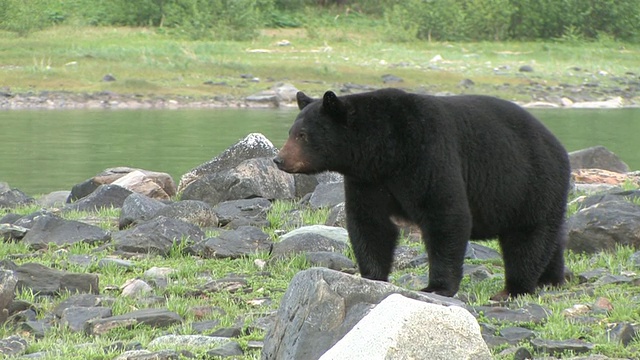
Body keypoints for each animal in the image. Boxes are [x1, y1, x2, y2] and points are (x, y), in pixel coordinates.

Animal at [272, 88, 572, 298]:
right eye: (291, 131)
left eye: (302, 135)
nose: (278, 159)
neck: (383, 149)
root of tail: (558, 144)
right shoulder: (367, 180)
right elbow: (370, 223)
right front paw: (371, 276)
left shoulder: (426, 152)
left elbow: (445, 214)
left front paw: (437, 286)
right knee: (549, 239)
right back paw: (550, 278)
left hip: (530, 183)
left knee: (526, 238)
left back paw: (515, 287)